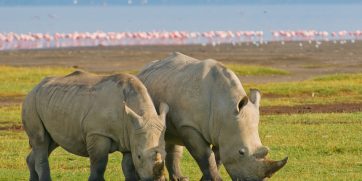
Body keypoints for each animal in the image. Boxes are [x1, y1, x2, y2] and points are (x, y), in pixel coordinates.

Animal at [21, 70, 169, 181]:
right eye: (139, 156)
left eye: (166, 155)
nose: (157, 180)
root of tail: (35, 87)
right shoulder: (98, 133)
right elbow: (99, 164)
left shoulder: (130, 135)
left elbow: (128, 167)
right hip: (31, 101)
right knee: (40, 140)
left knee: (49, 142)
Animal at [137, 51, 288, 180]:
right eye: (241, 152)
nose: (253, 180)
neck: (225, 108)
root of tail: (145, 68)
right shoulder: (189, 126)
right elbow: (205, 156)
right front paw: (215, 179)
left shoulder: (223, 130)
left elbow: (217, 158)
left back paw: (181, 178)